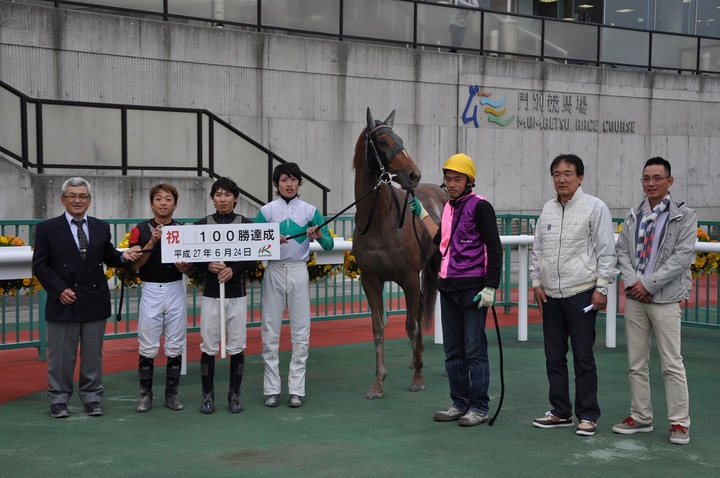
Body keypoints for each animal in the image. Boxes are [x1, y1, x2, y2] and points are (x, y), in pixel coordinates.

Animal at [352, 108, 447, 399]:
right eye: (383, 142)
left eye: (401, 139)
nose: (413, 175)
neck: (382, 222)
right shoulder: (371, 281)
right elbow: (378, 329)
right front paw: (378, 382)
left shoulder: (407, 277)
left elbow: (411, 326)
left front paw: (417, 379)